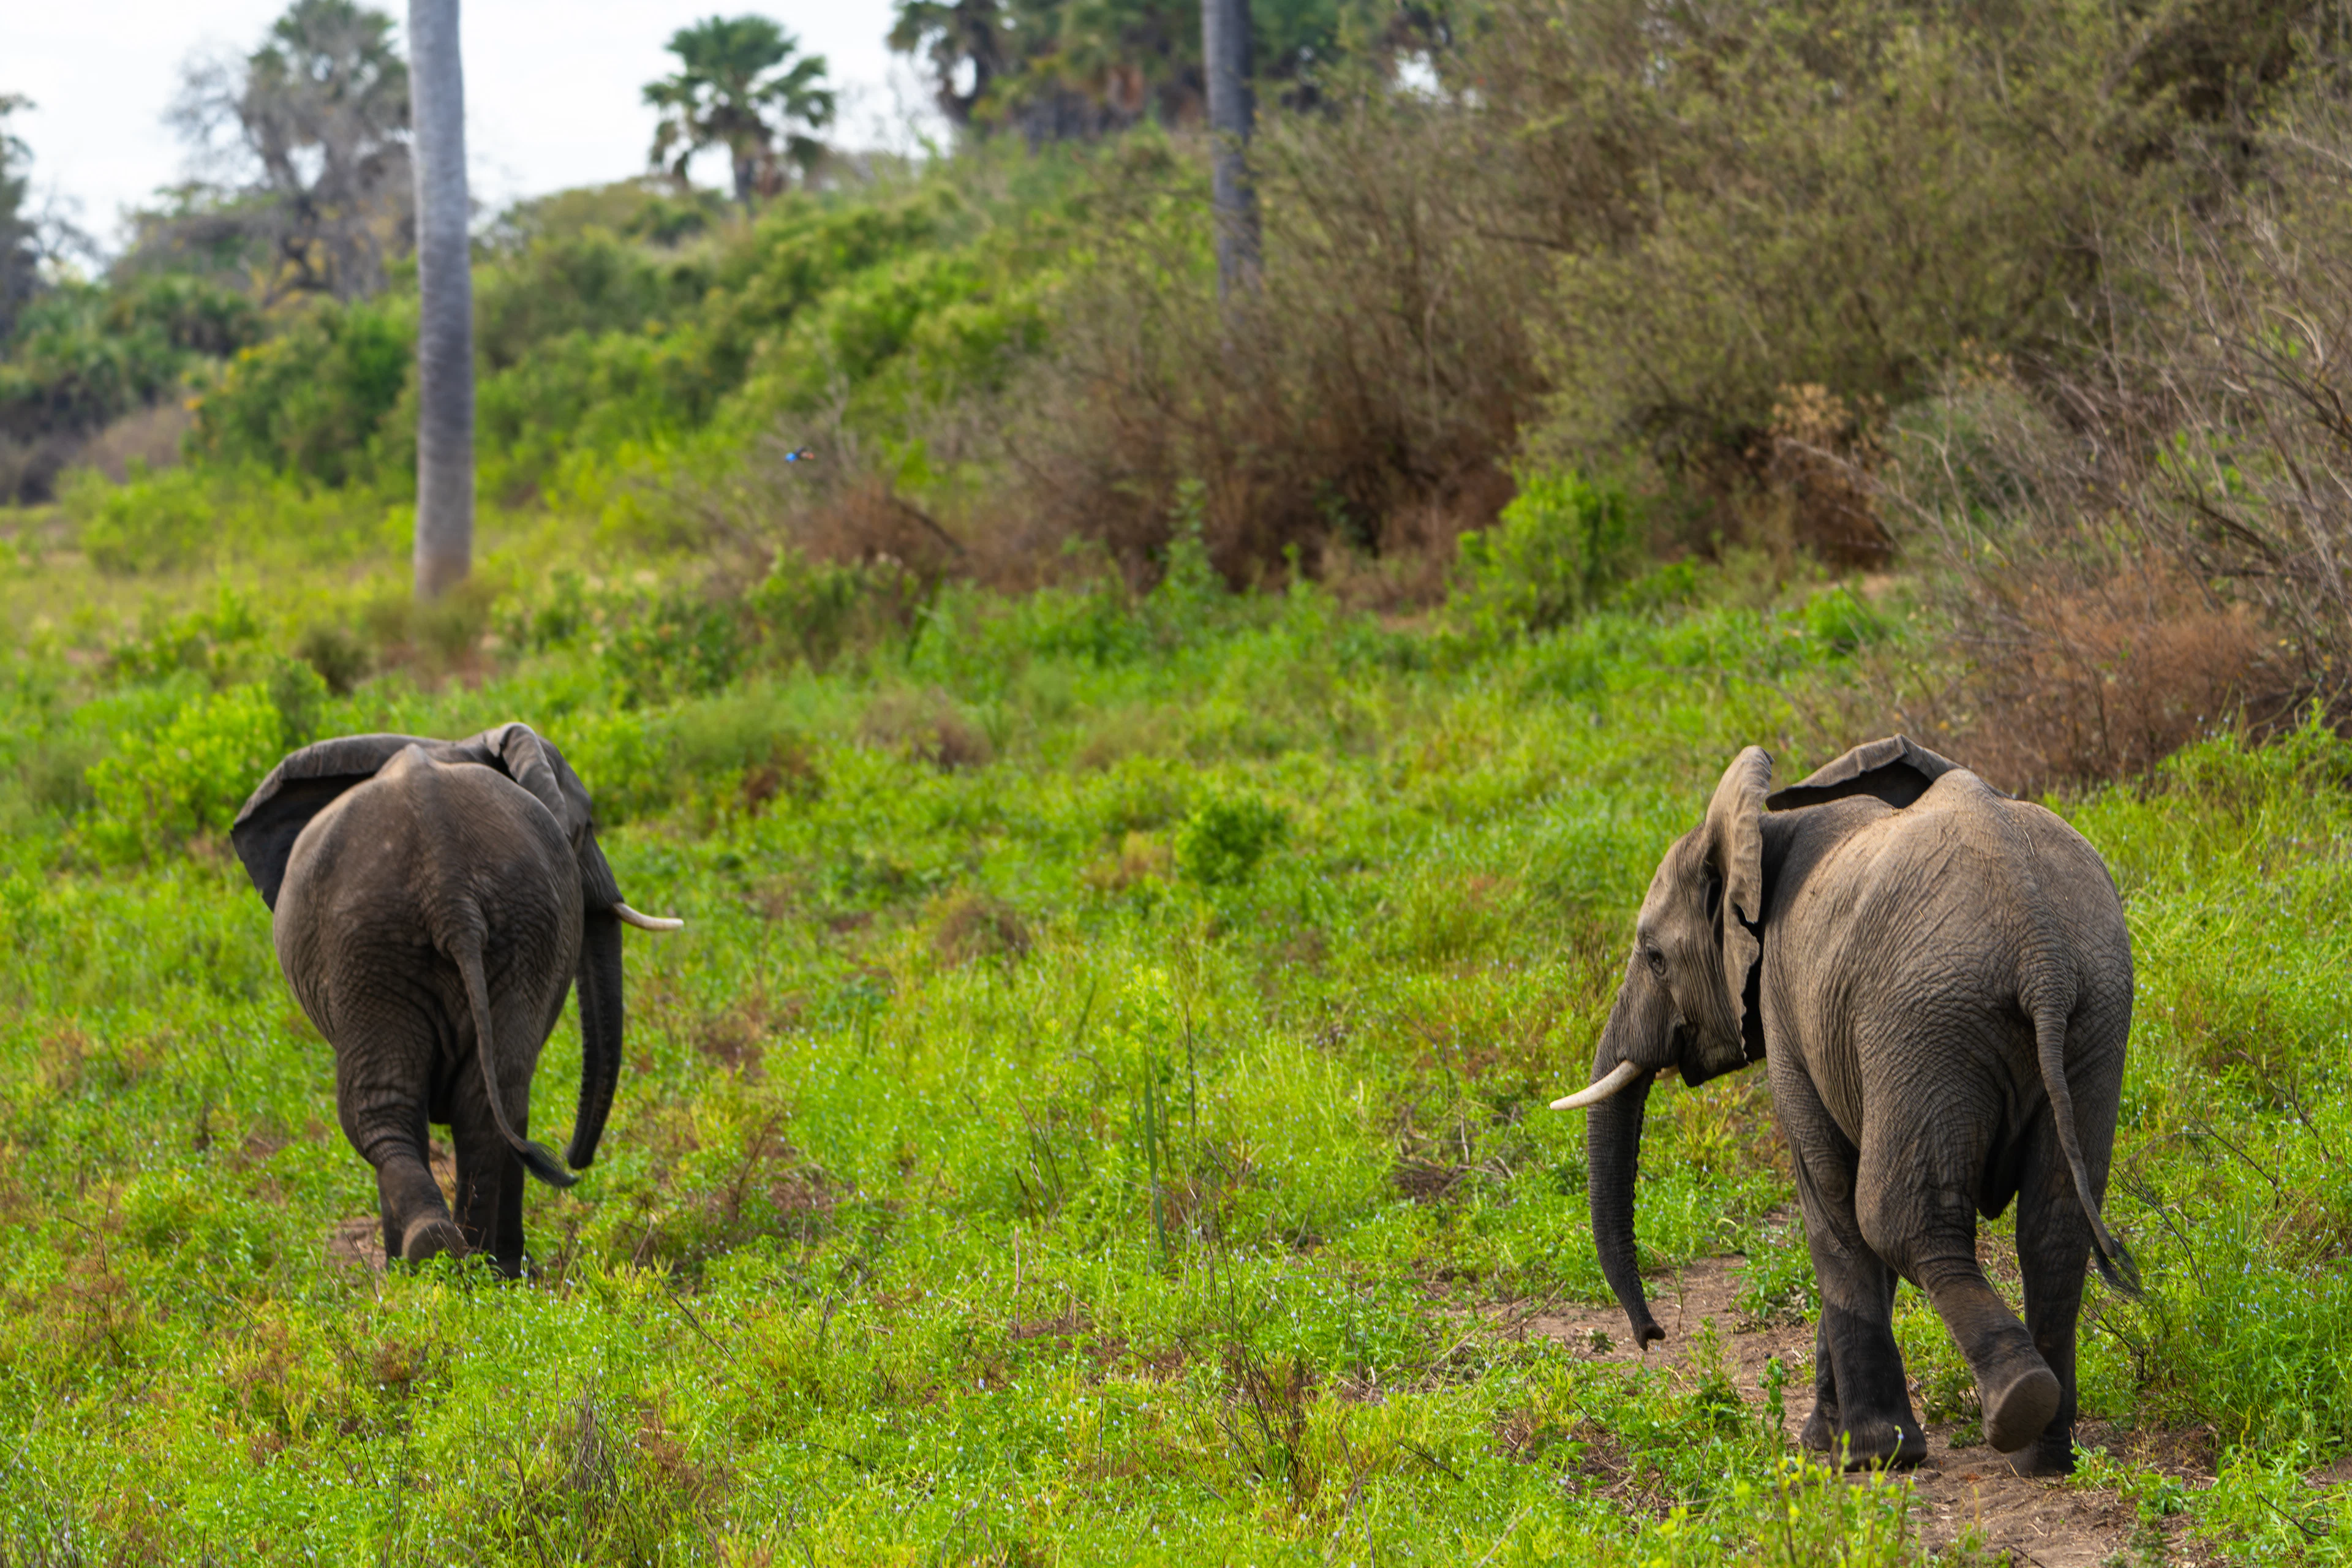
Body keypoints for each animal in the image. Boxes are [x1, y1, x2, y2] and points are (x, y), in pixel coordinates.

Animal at [230, 723, 682, 1276]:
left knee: (407, 1108)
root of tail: (446, 885)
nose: (576, 1162)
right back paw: (461, 1260)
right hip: (399, 939)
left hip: (396, 939)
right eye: (588, 825)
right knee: (466, 1103)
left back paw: (459, 1263)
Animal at [1553, 736, 2137, 1476]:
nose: (1652, 1334)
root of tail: (2040, 948)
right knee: (2055, 1225)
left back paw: (2014, 1407)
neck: (1761, 834)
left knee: (1899, 1217)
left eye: (1654, 956)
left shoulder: (1788, 1004)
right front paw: (1826, 1442)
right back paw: (2045, 1455)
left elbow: (1832, 1195)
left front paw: (1866, 1455)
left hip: (1923, 1019)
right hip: (2094, 1013)